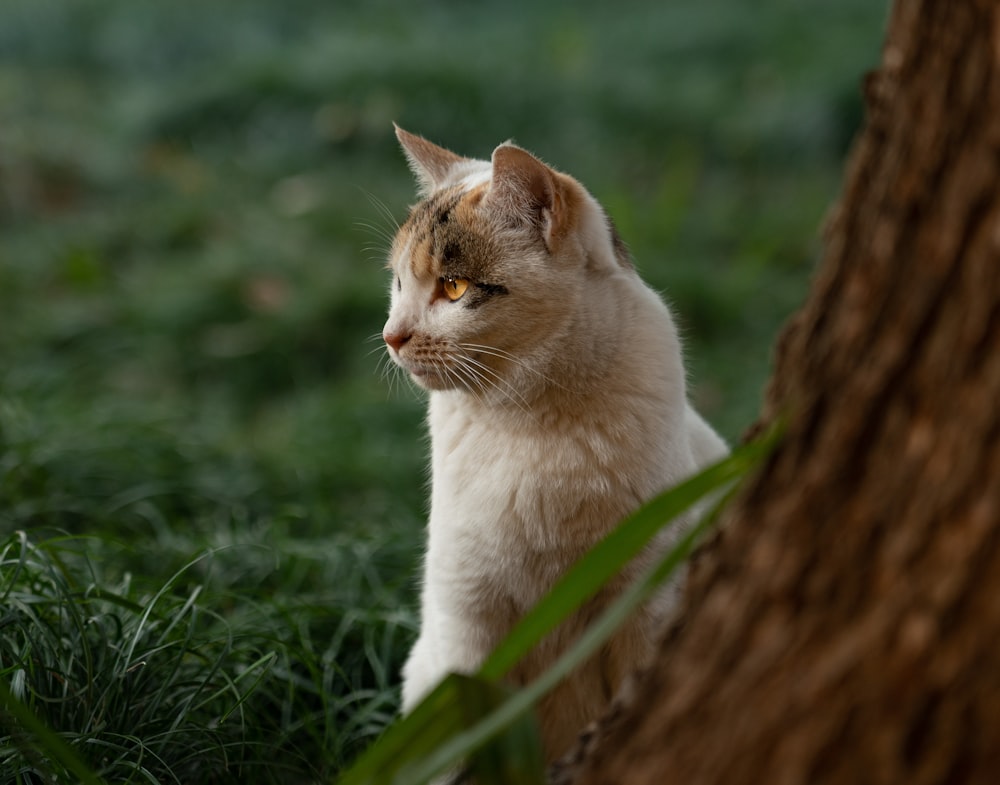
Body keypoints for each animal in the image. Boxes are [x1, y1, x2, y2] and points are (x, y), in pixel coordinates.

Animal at [382, 125, 728, 764]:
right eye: (398, 283)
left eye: (454, 287)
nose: (391, 336)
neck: (531, 421)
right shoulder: (466, 623)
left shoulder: (647, 603)